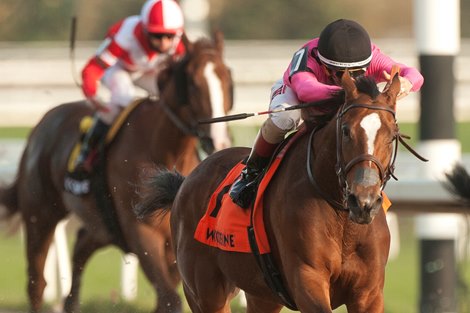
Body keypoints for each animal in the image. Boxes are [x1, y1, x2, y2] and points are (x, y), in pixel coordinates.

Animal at [0, 32, 233, 312]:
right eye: (194, 82)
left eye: (227, 78)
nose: (219, 139)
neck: (163, 149)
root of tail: (41, 125)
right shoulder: (141, 232)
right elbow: (170, 299)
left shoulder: (176, 243)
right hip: (40, 213)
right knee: (36, 282)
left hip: (101, 224)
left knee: (80, 245)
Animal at [134, 71, 402, 312]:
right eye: (346, 130)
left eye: (392, 136)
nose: (363, 201)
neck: (343, 220)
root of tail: (186, 181)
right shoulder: (307, 279)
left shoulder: (368, 292)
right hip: (204, 291)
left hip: (262, 295)